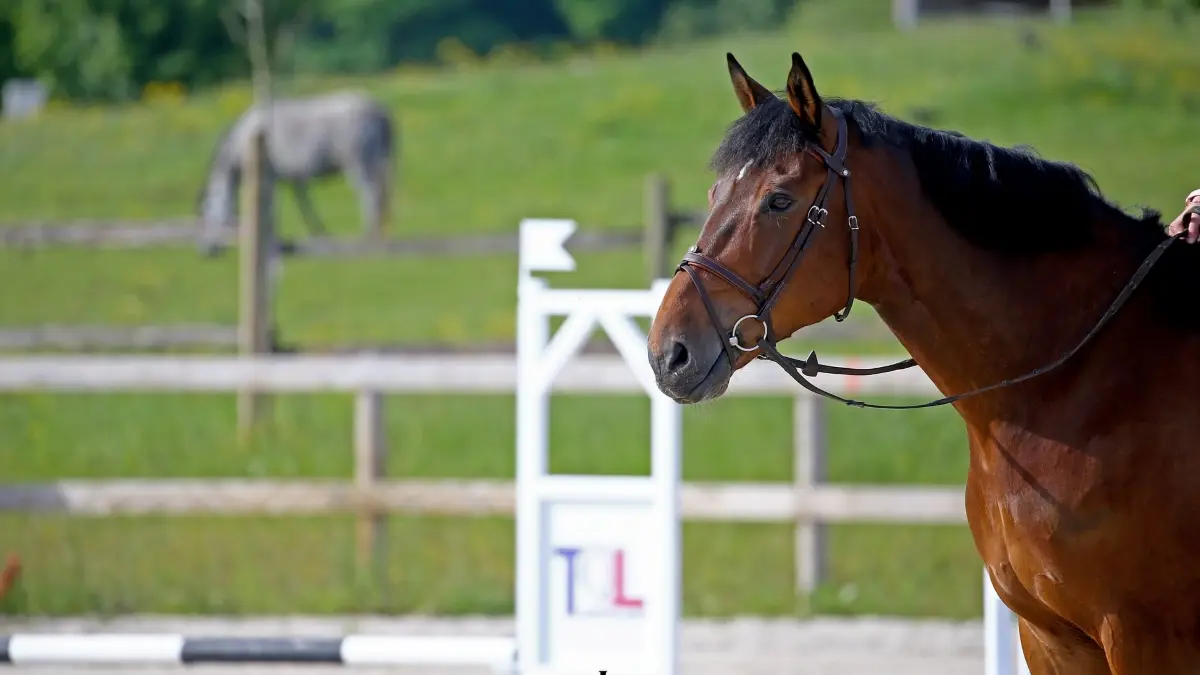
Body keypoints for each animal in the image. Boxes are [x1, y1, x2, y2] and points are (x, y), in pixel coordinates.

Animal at [194, 90, 396, 253]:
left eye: (205, 216)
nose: (206, 251)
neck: (244, 139)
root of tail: (377, 109)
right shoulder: (294, 180)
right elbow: (304, 206)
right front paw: (319, 232)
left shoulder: (270, 179)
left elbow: (274, 208)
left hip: (360, 166)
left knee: (371, 196)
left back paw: (368, 235)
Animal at [648, 52, 1200, 672]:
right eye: (715, 193)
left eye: (780, 200)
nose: (669, 352)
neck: (1072, 383)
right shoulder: (1051, 639)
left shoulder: (1142, 637)